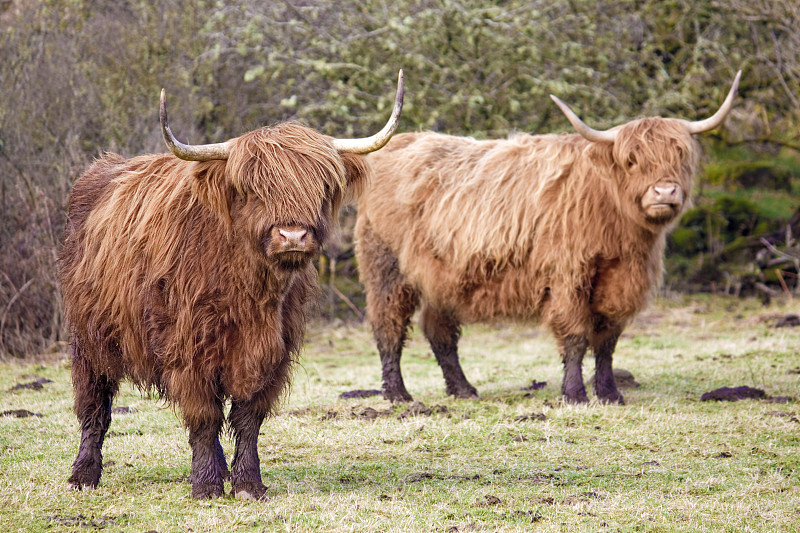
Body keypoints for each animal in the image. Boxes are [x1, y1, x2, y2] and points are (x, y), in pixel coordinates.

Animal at [59, 71, 404, 498]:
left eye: (321, 186)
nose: (292, 235)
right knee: (94, 406)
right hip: (89, 337)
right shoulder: (188, 349)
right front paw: (206, 485)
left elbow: (248, 418)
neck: (249, 292)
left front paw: (247, 483)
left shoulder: (272, 352)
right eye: (254, 190)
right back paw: (83, 475)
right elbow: (204, 417)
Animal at [360, 70, 740, 404]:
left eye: (680, 155)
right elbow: (575, 336)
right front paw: (574, 394)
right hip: (387, 268)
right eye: (631, 160)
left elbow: (607, 341)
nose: (664, 191)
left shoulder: (620, 282)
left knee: (438, 330)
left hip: (443, 277)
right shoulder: (568, 277)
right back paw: (397, 394)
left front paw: (610, 393)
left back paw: (463, 390)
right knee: (389, 327)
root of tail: (399, 143)